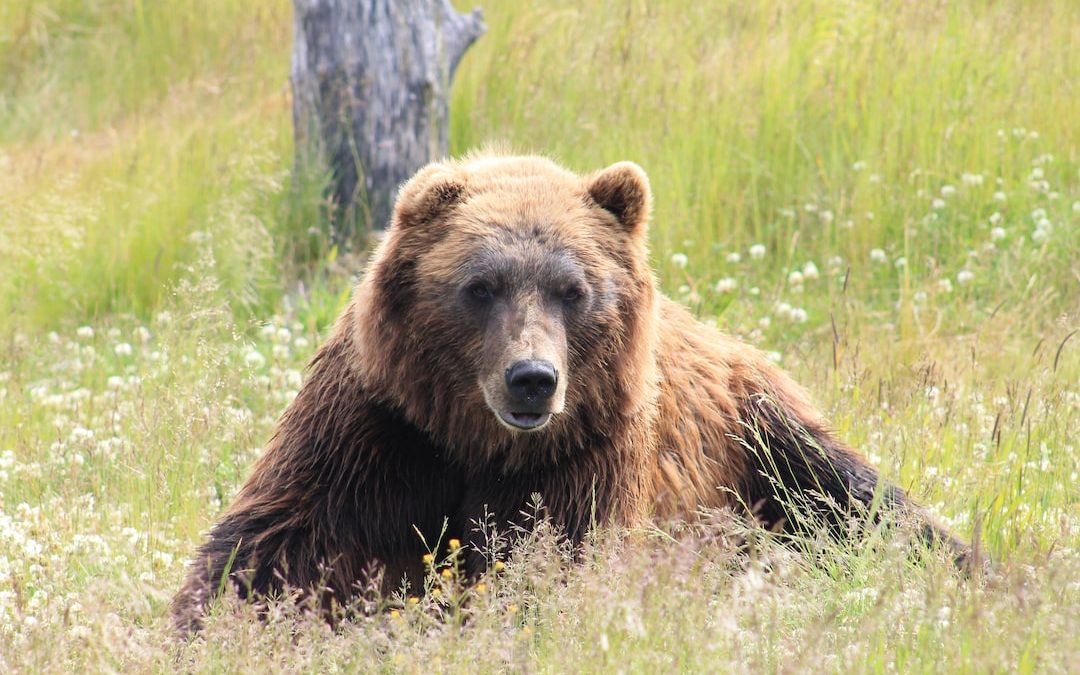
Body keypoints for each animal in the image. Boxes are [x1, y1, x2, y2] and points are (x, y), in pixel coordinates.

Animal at [170, 152, 972, 630]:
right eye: (480, 285)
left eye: (573, 289)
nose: (532, 378)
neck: (476, 442)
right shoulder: (380, 429)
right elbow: (275, 545)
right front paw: (208, 623)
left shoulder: (585, 454)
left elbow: (551, 566)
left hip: (761, 438)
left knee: (862, 504)